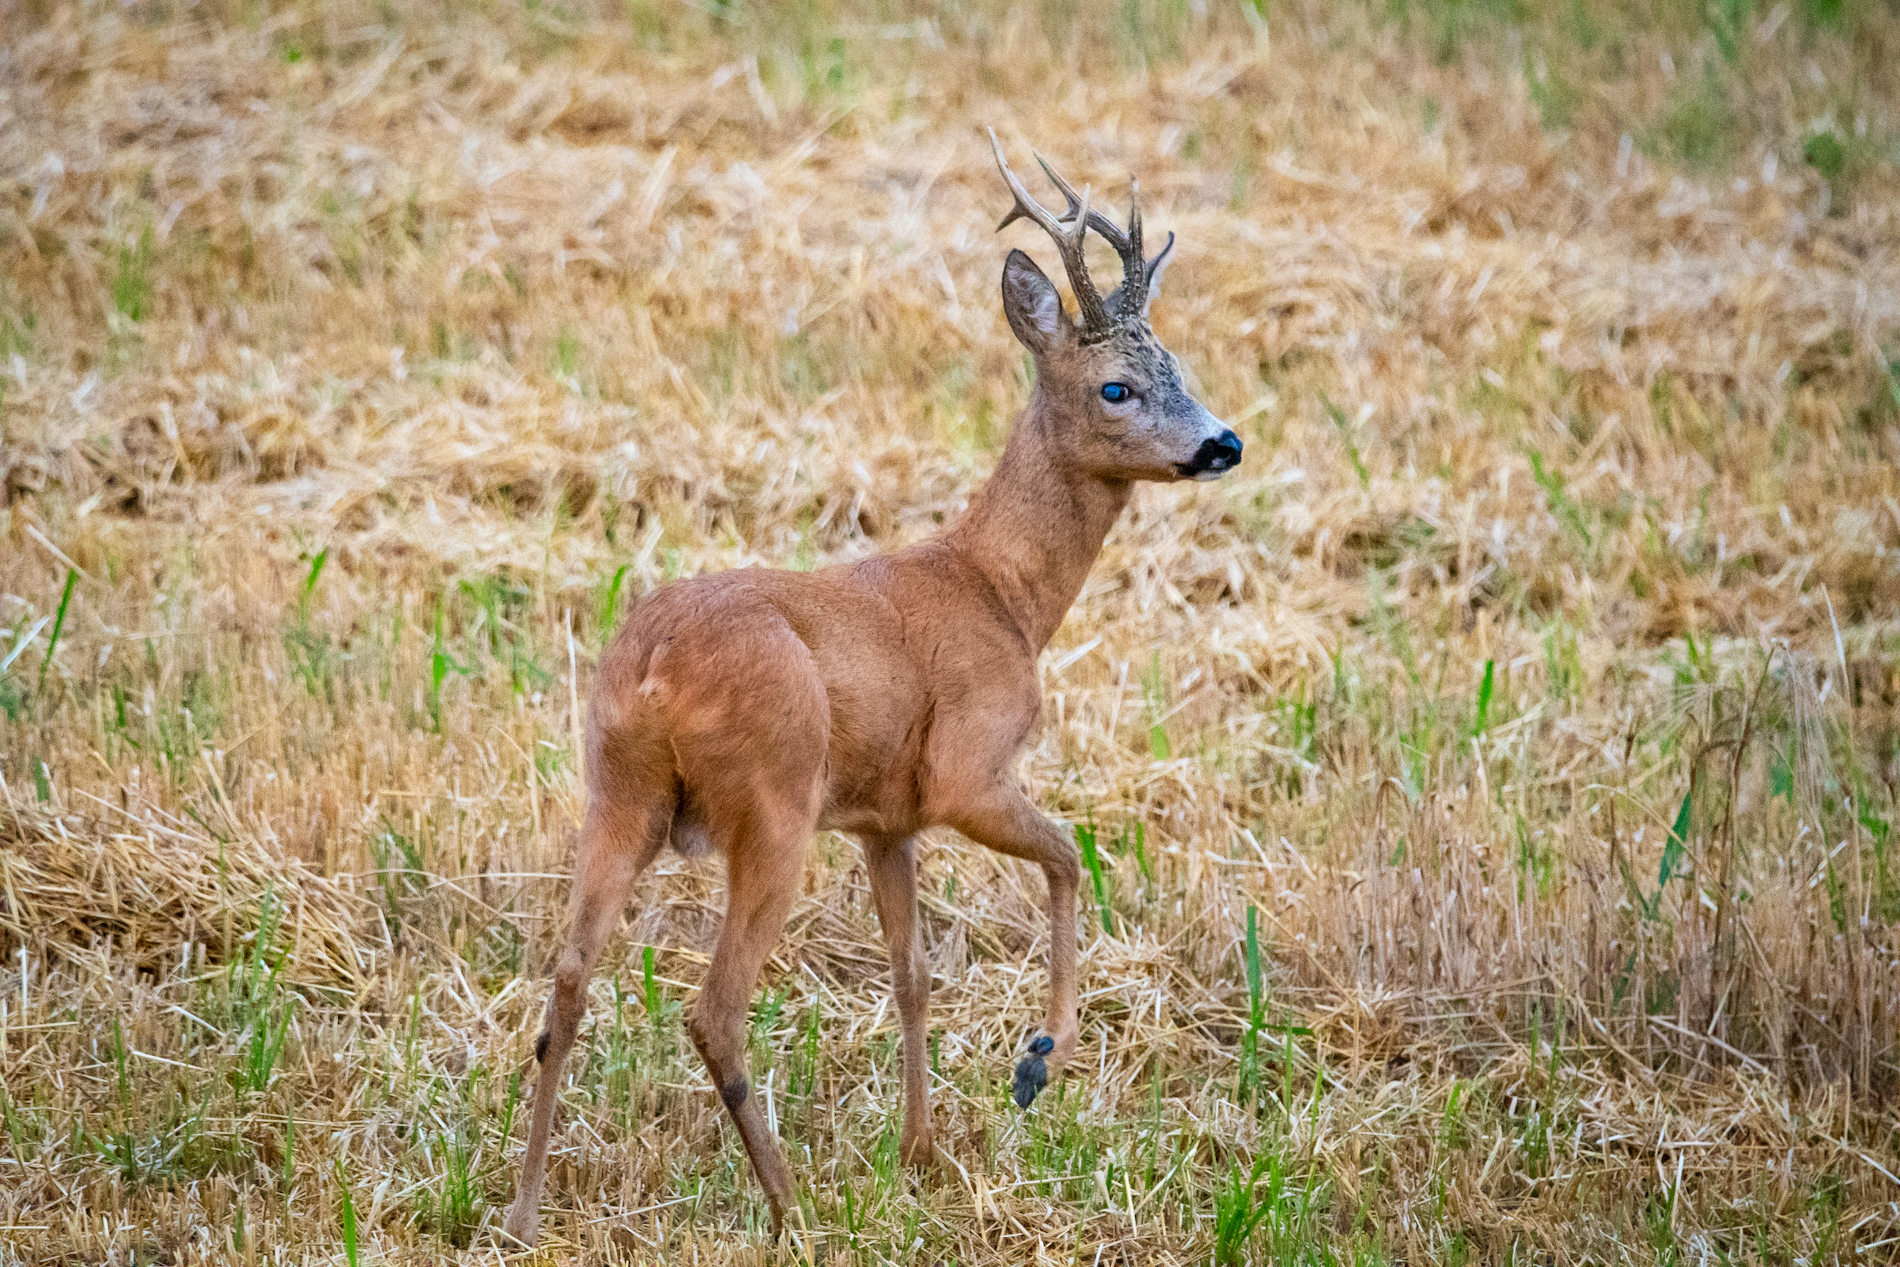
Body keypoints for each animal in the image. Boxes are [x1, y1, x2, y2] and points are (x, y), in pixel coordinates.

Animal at [501, 131, 1246, 1246]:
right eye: (1117, 386)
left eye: (1179, 369)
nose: (1221, 443)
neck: (1001, 591)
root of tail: (655, 672)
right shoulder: (964, 769)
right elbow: (1070, 856)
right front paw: (1038, 1062)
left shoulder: (884, 818)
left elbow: (913, 972)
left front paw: (920, 1150)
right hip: (773, 799)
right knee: (714, 1007)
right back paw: (791, 1208)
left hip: (615, 789)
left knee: (568, 975)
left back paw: (522, 1207)